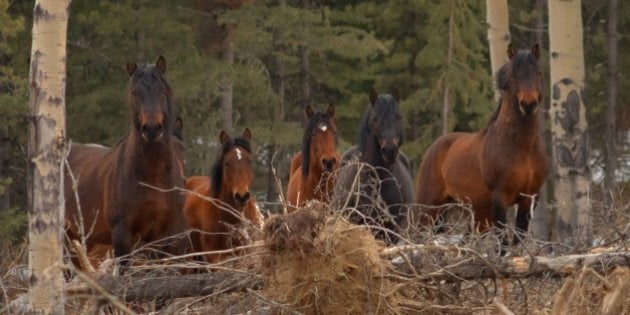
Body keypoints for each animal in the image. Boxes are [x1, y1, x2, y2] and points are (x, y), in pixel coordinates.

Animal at [64, 56, 189, 266]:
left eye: (162, 90)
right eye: (134, 93)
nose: (152, 129)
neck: (153, 179)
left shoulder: (163, 236)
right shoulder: (122, 233)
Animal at [414, 43, 548, 251]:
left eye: (539, 73)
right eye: (513, 75)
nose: (528, 104)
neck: (521, 148)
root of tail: (435, 146)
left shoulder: (530, 198)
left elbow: (518, 239)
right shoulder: (500, 198)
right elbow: (503, 243)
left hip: (479, 215)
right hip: (430, 208)